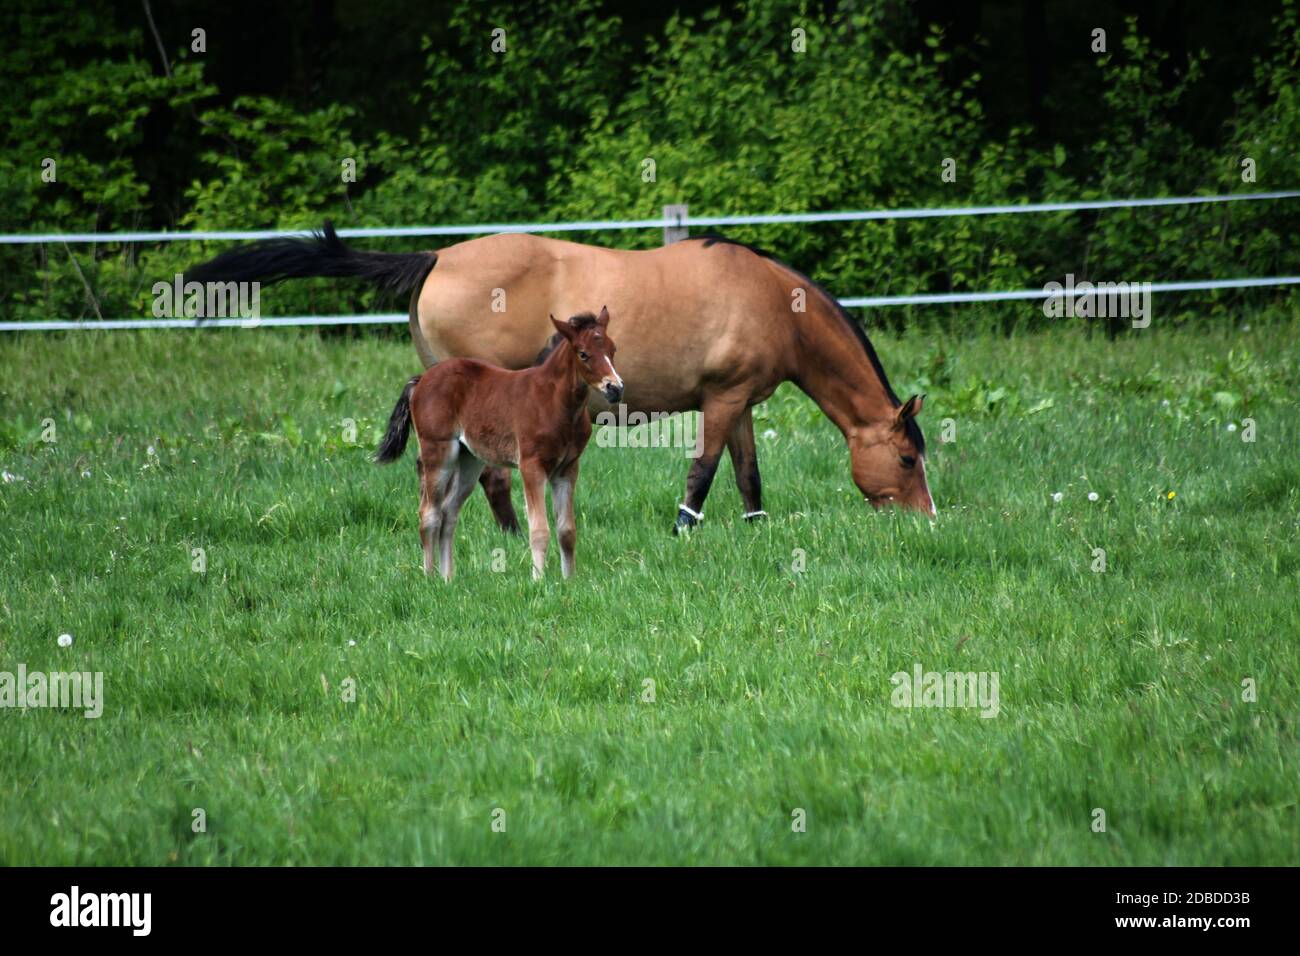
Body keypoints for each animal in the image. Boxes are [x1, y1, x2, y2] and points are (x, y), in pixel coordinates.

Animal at [188, 222, 934, 532]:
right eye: (906, 458)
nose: (927, 520)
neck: (772, 301)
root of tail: (436, 257)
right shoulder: (722, 401)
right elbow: (703, 471)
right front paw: (684, 531)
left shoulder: (740, 402)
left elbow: (747, 473)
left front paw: (757, 528)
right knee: (491, 476)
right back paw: (509, 536)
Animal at [374, 307, 621, 580]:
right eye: (583, 354)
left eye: (613, 349)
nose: (615, 388)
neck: (555, 402)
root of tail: (422, 379)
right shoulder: (531, 466)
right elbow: (539, 530)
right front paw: (539, 581)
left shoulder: (567, 468)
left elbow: (567, 531)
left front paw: (569, 581)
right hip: (438, 452)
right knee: (430, 513)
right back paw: (430, 577)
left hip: (469, 460)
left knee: (449, 513)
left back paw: (447, 579)